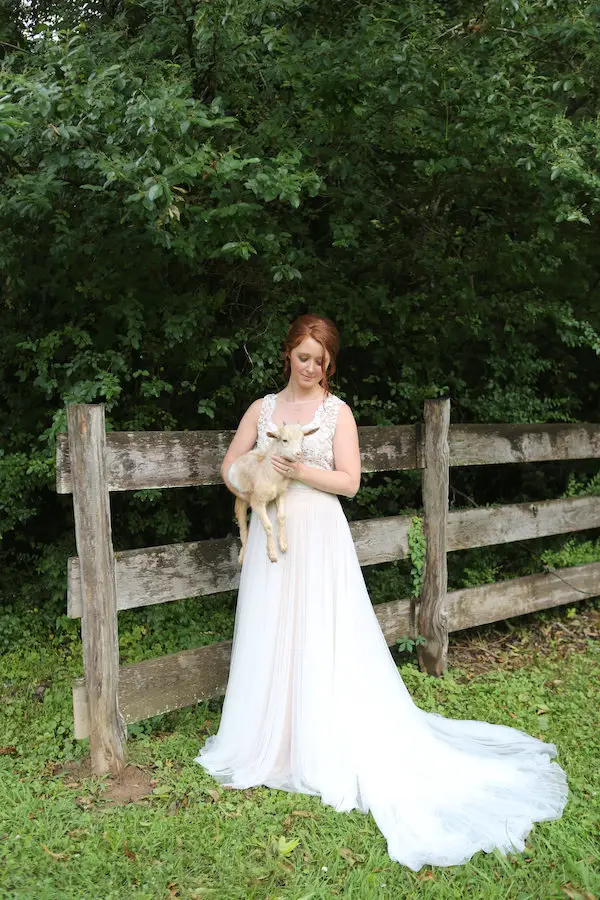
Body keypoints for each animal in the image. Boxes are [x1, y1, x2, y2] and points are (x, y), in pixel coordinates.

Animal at [225, 422, 318, 564]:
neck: (269, 474)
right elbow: (268, 526)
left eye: (302, 439)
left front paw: (283, 544)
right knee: (242, 528)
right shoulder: (257, 501)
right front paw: (272, 554)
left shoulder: (280, 493)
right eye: (284, 440)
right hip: (240, 500)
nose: (299, 454)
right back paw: (242, 557)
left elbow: (281, 517)